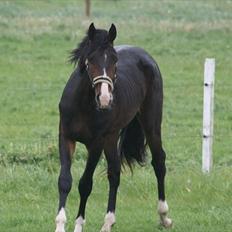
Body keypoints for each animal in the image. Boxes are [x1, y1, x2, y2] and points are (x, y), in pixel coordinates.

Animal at [54, 22, 172, 232]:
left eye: (115, 60)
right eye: (90, 59)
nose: (105, 99)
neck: (83, 105)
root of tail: (146, 57)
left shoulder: (95, 144)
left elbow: (85, 184)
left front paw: (78, 225)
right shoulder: (66, 138)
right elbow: (65, 181)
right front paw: (60, 224)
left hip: (150, 124)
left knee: (158, 161)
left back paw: (164, 216)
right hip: (112, 137)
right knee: (115, 173)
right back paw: (108, 222)